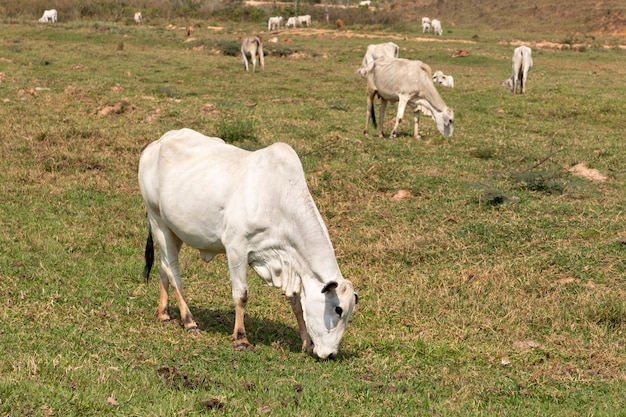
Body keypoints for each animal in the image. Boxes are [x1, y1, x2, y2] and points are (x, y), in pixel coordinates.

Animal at [139, 128, 358, 360]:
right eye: (338, 310)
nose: (331, 354)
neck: (278, 202)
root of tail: (156, 143)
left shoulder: (291, 263)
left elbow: (297, 302)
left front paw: (306, 342)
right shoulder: (236, 248)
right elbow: (241, 295)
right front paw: (241, 339)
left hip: (174, 230)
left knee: (164, 266)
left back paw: (163, 314)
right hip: (158, 221)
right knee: (173, 272)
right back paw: (189, 321)